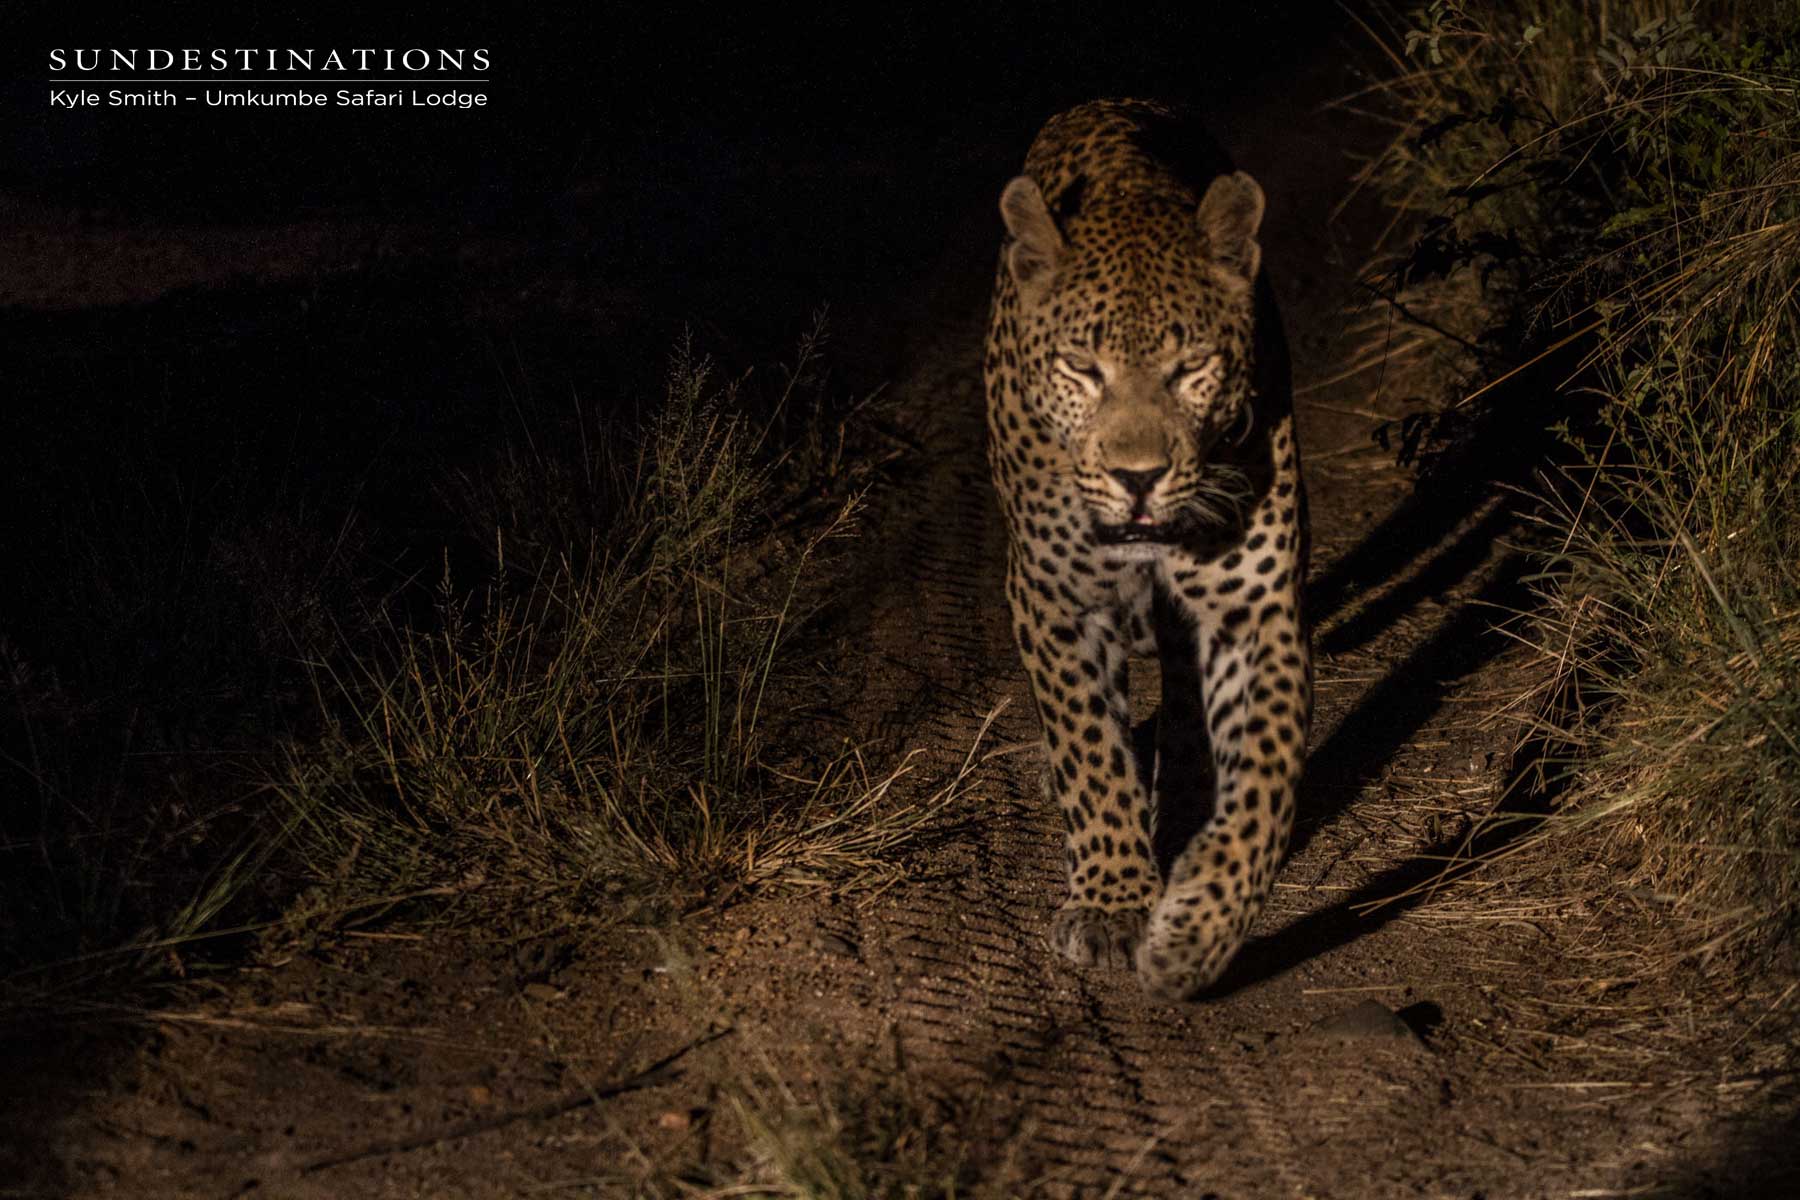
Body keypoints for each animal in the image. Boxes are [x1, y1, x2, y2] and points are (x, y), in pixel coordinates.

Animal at [986, 98, 1310, 1000]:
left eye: (1191, 367)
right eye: (1081, 367)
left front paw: (1195, 933)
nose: (1138, 478)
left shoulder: (1253, 606)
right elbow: (1089, 751)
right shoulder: (1053, 600)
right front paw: (1113, 904)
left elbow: (1268, 773)